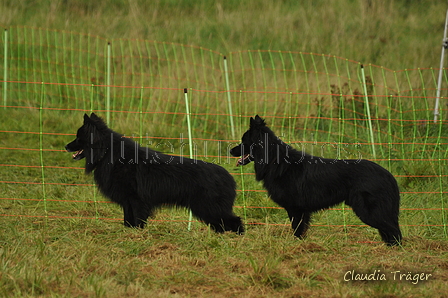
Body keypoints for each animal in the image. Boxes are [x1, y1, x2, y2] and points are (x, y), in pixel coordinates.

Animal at [65, 113, 243, 234]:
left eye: (79, 138)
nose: (66, 146)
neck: (108, 152)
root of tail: (228, 177)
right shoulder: (128, 201)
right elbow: (128, 220)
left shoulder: (137, 200)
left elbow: (137, 220)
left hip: (210, 209)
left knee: (236, 222)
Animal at [231, 115, 402, 246]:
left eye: (244, 141)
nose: (230, 150)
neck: (275, 161)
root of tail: (388, 175)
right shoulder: (301, 210)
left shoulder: (295, 209)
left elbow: (297, 229)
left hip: (368, 211)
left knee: (393, 230)